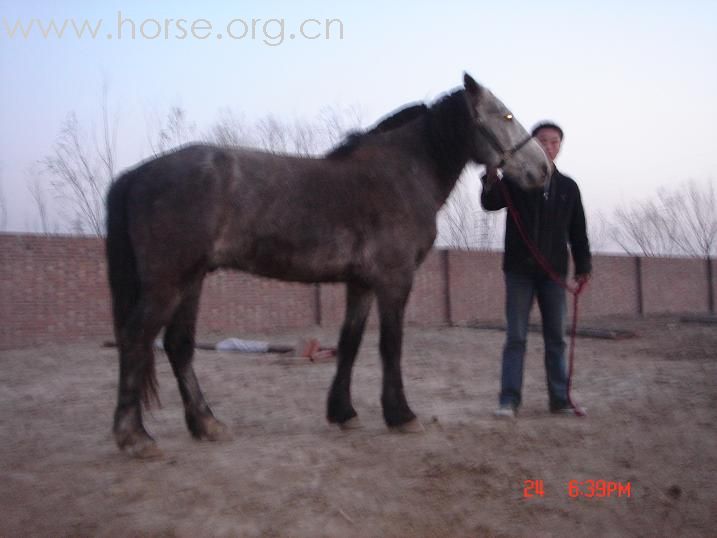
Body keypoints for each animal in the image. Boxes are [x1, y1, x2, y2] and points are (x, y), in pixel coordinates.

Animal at [105, 72, 548, 456]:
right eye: (506, 115)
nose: (542, 169)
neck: (400, 175)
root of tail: (137, 174)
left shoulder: (361, 284)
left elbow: (350, 343)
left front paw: (343, 412)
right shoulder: (395, 280)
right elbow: (391, 345)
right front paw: (401, 415)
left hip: (192, 280)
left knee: (178, 346)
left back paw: (207, 424)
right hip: (168, 282)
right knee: (136, 338)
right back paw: (134, 437)